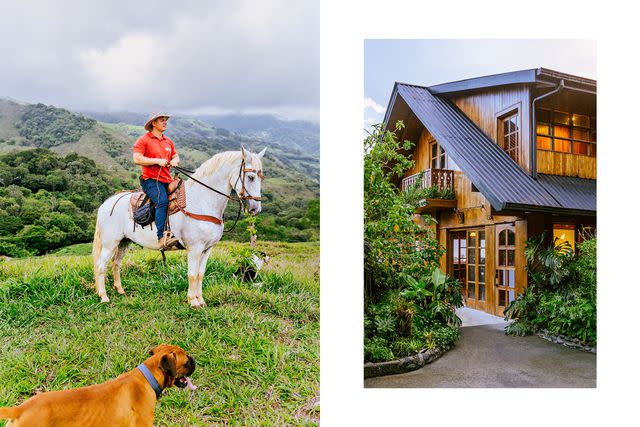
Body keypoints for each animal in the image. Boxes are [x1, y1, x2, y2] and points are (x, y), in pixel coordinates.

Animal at [92, 147, 264, 308]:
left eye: (260, 177)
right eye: (251, 177)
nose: (255, 209)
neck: (202, 200)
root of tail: (106, 203)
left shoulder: (207, 249)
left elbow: (201, 274)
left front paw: (201, 300)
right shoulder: (195, 248)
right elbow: (192, 274)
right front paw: (193, 301)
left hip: (124, 242)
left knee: (116, 263)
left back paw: (120, 290)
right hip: (110, 243)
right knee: (101, 266)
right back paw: (103, 296)